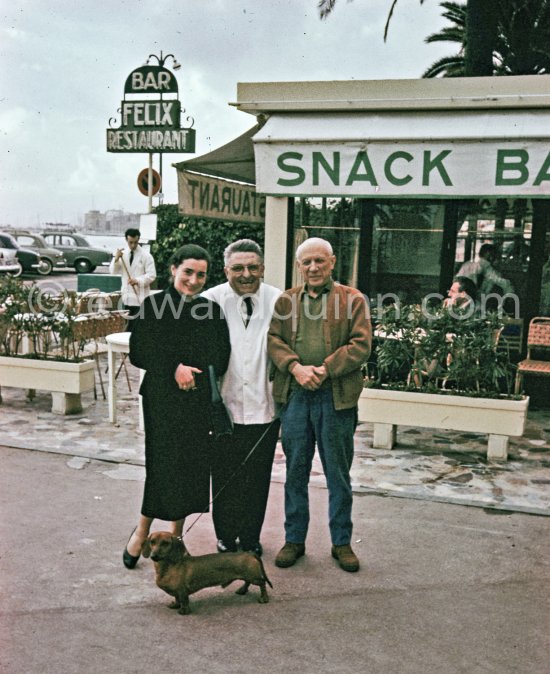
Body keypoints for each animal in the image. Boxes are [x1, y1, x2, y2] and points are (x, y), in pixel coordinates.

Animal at [141, 532, 272, 616]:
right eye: (152, 542)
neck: (168, 567)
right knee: (247, 582)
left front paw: (184, 611)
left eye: (165, 543)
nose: (153, 556)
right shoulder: (177, 591)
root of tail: (249, 553)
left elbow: (184, 600)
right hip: (248, 575)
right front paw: (175, 605)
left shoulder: (182, 591)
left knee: (262, 583)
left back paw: (264, 598)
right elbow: (177, 598)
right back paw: (242, 590)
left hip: (254, 577)